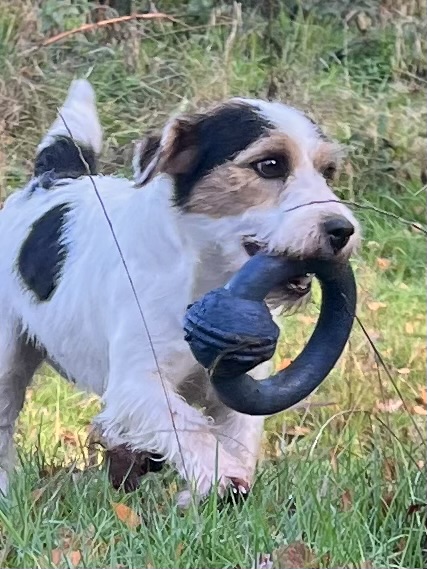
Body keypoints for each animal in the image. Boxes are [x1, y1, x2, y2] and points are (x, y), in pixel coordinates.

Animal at [0, 80, 360, 506]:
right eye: (270, 165)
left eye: (328, 172)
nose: (342, 230)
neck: (204, 279)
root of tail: (52, 179)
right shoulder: (137, 383)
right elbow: (187, 424)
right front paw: (221, 479)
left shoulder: (241, 387)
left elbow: (238, 436)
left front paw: (224, 484)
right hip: (6, 359)